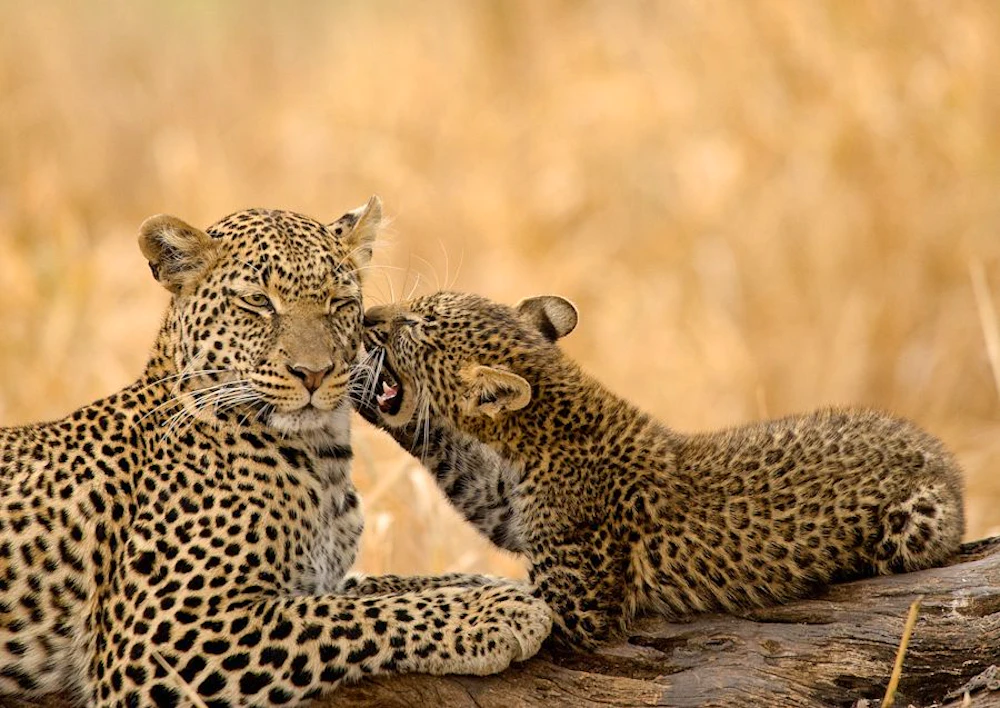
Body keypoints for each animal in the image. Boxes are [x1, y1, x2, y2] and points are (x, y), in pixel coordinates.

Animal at [0, 205, 552, 708]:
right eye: (258, 302)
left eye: (338, 302)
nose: (314, 373)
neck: (322, 459)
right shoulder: (160, 638)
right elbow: (354, 616)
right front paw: (497, 612)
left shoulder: (319, 576)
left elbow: (386, 586)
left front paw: (494, 585)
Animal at [357, 290, 965, 648]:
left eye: (415, 324)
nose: (368, 317)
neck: (542, 432)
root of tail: (944, 458)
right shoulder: (504, 506)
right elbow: (469, 554)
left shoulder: (576, 606)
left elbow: (480, 588)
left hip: (916, 521)